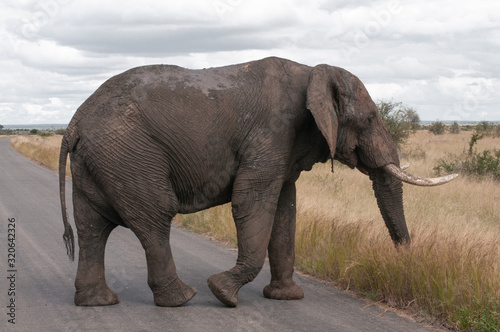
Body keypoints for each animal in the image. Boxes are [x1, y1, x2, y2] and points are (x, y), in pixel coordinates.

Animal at [58, 55, 458, 308]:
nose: (406, 260)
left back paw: (98, 302)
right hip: (128, 154)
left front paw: (286, 298)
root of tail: (75, 122)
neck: (313, 70)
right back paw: (183, 300)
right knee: (154, 218)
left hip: (99, 160)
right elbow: (251, 201)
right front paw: (222, 293)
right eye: (371, 118)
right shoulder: (272, 131)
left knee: (92, 226)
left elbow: (284, 211)